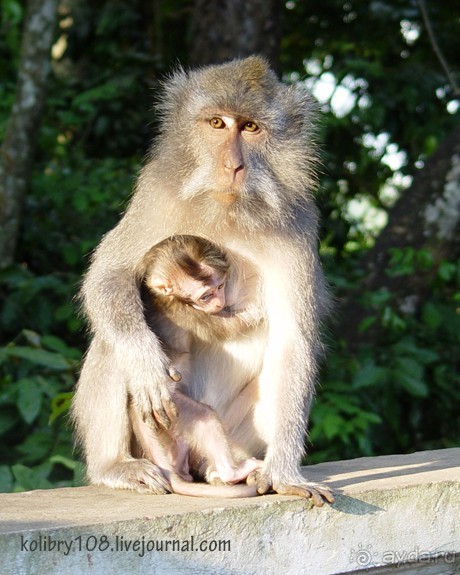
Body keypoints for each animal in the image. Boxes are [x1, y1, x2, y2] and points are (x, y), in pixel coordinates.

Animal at [133, 236, 262, 498]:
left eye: (221, 286)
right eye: (206, 295)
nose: (220, 303)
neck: (163, 296)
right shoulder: (185, 312)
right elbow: (225, 328)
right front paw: (255, 313)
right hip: (173, 410)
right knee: (205, 417)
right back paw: (230, 472)